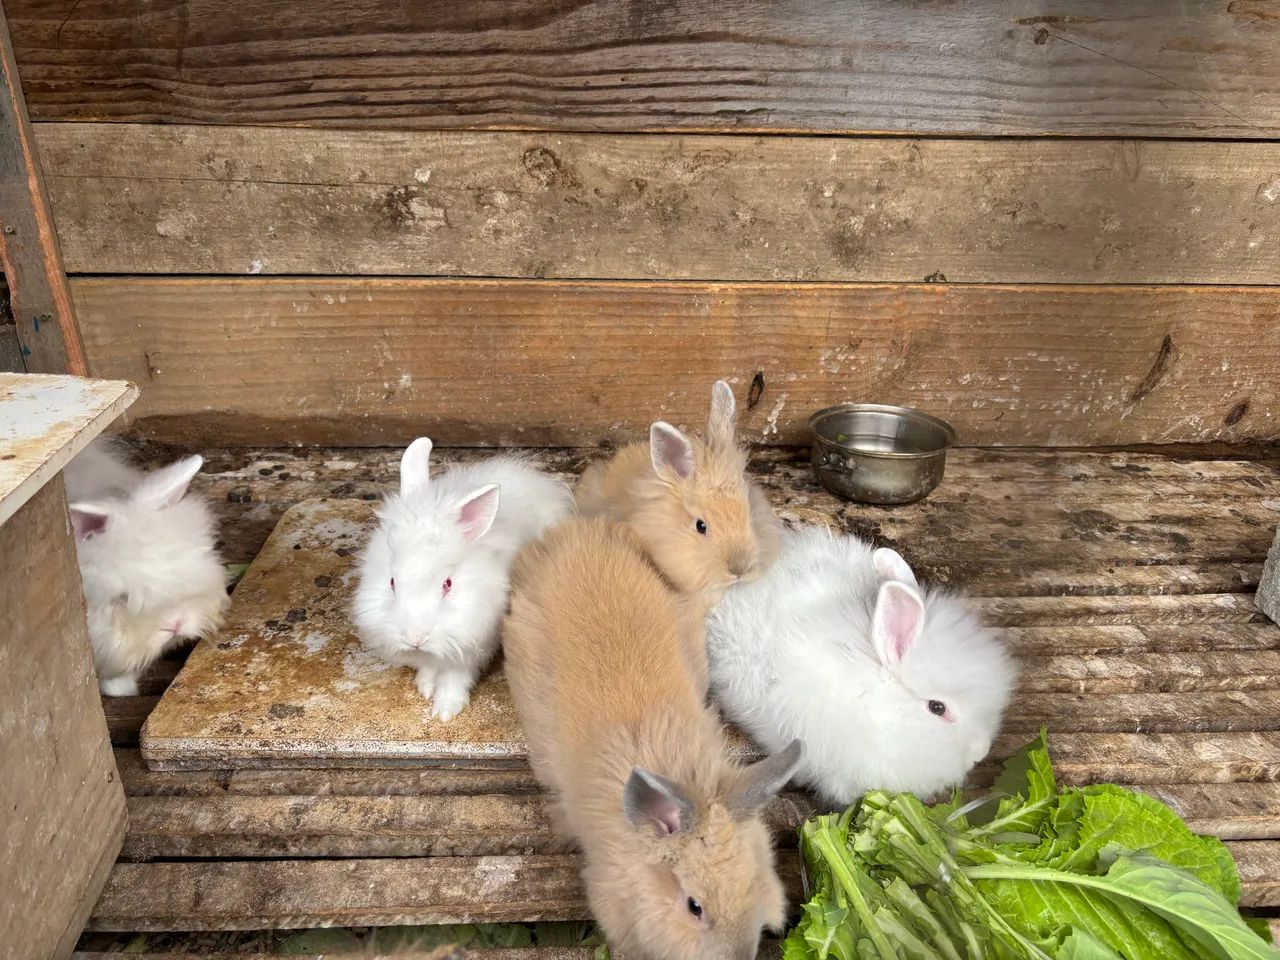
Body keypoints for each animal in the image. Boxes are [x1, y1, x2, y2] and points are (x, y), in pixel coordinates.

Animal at [352, 437, 572, 720]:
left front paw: (445, 710)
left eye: (448, 584)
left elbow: (455, 677)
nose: (415, 639)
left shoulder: (473, 642)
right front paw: (425, 687)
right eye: (392, 582)